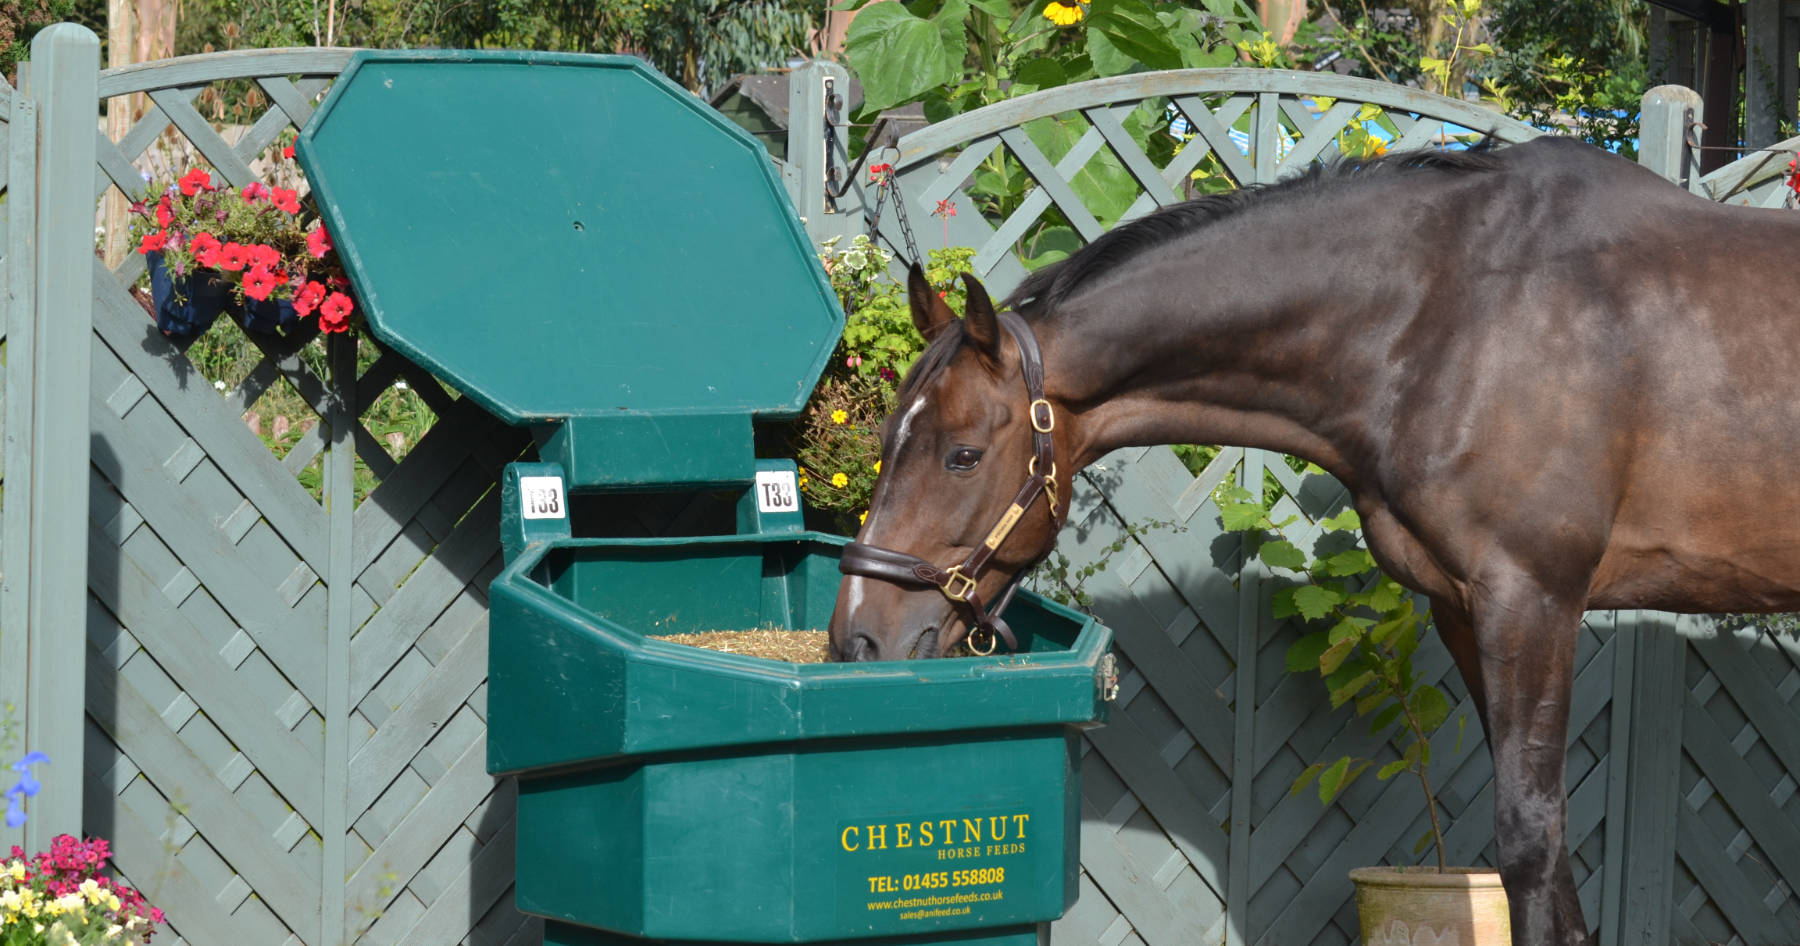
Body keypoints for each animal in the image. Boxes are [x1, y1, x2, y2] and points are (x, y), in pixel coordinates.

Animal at [824, 135, 1800, 946]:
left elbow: (1529, 840)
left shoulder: (1534, 599)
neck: (1464, 314)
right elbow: (1551, 860)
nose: (857, 637)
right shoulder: (1463, 608)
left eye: (961, 454)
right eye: (888, 439)